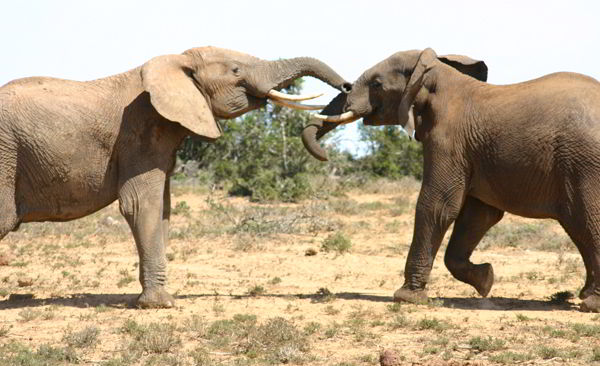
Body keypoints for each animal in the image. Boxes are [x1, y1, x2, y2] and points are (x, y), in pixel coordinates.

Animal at [0, 46, 352, 308]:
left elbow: (163, 209)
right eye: (236, 71)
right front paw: (160, 305)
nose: (349, 86)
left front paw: (154, 298)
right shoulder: (140, 128)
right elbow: (141, 204)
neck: (176, 62)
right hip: (7, 154)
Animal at [304, 48, 600, 312]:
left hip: (583, 163)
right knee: (579, 226)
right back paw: (585, 295)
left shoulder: (448, 140)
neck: (437, 74)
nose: (326, 156)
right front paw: (486, 280)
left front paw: (407, 298)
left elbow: (438, 205)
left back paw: (590, 304)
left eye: (377, 84)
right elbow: (479, 215)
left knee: (584, 219)